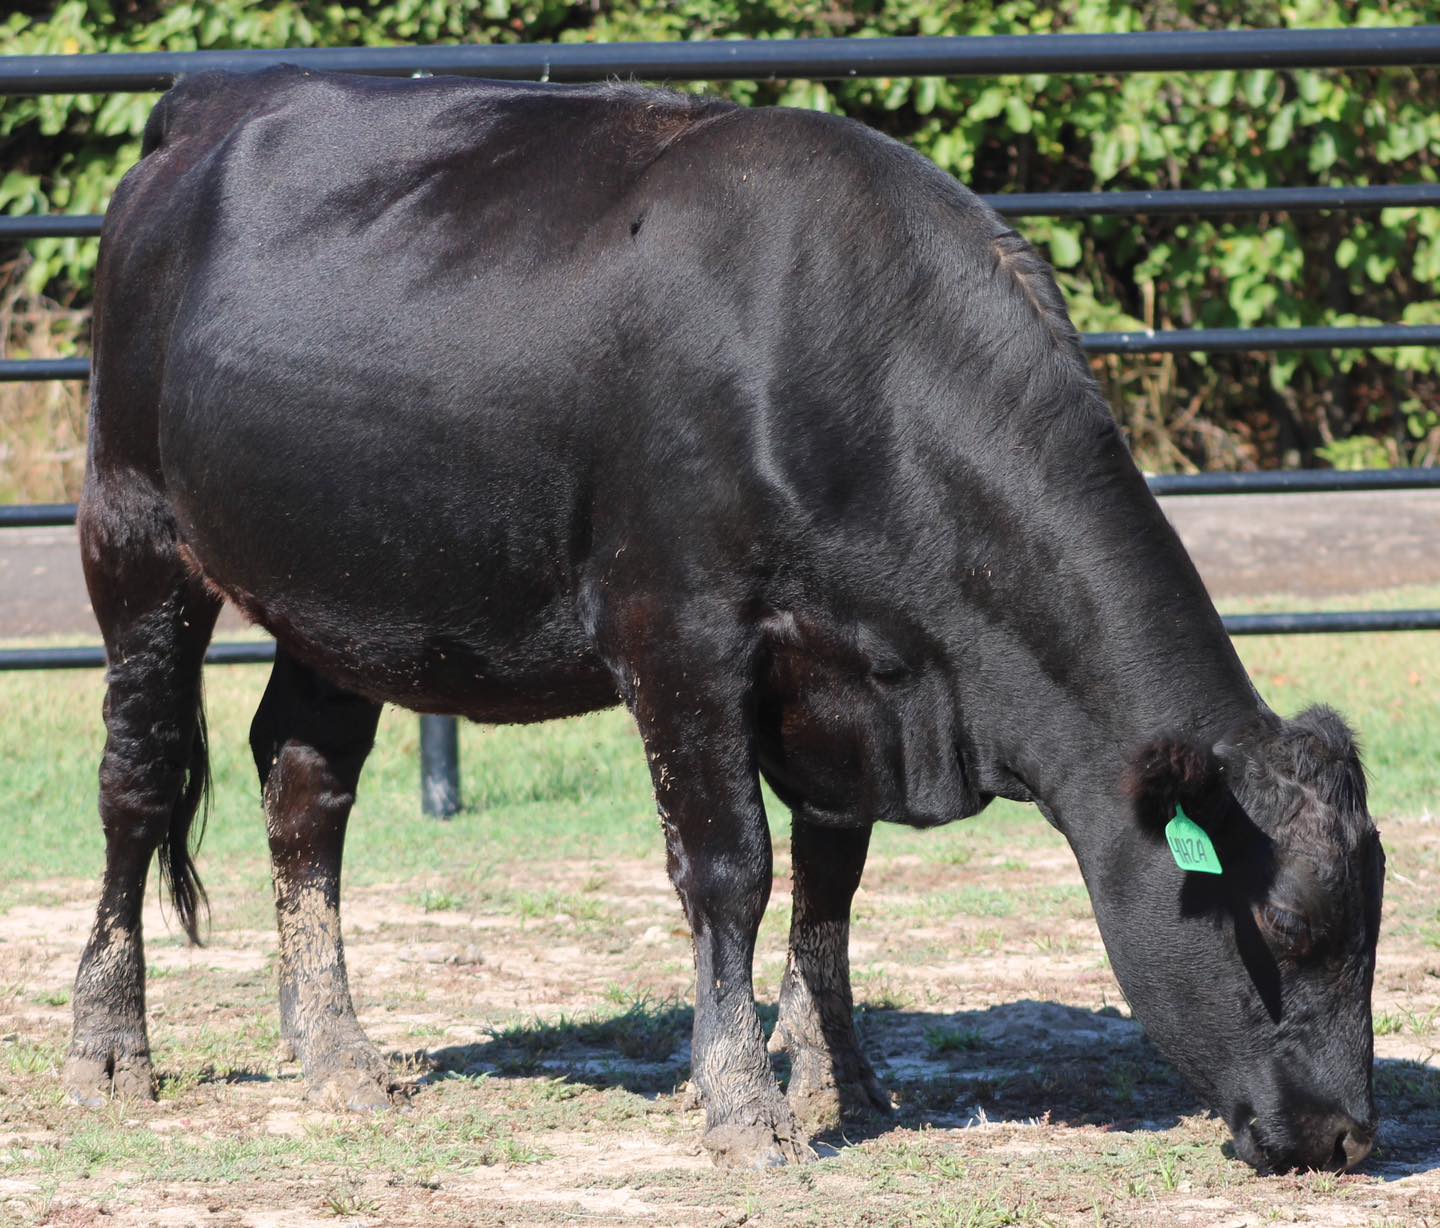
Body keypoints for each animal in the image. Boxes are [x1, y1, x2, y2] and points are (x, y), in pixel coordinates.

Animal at [64, 64, 1382, 1168]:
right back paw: (112, 1044)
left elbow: (832, 883)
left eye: (1373, 924)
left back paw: (336, 1050)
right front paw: (746, 1105)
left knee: (304, 783)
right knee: (137, 782)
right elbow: (732, 870)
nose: (1349, 1134)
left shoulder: (847, 683)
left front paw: (839, 1079)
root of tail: (219, 101)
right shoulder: (680, 634)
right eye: (1283, 929)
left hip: (345, 589)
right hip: (132, 530)